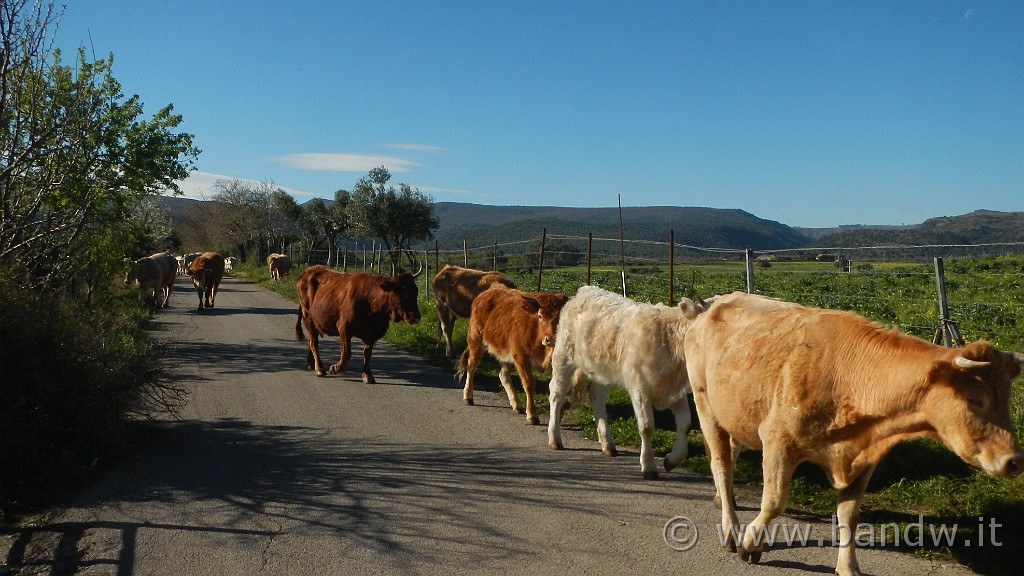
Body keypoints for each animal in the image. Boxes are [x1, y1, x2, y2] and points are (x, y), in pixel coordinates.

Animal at [456, 284, 569, 424]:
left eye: (560, 319)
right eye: (540, 316)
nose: (550, 339)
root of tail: (492, 288)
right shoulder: (521, 357)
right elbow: (529, 384)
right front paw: (532, 415)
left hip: (506, 354)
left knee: (503, 375)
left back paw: (517, 404)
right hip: (475, 340)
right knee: (471, 367)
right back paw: (468, 396)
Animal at [548, 284, 708, 477]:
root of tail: (585, 290)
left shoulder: (674, 391)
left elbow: (686, 424)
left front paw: (672, 460)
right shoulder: (640, 388)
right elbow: (646, 427)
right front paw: (648, 466)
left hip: (603, 370)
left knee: (596, 395)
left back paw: (607, 444)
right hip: (563, 357)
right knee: (556, 394)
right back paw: (555, 438)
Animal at [679, 291, 1024, 573]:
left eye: (1007, 397)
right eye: (975, 399)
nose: (1014, 461)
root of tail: (708, 307)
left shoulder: (864, 456)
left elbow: (849, 515)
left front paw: (848, 567)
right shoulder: (778, 441)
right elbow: (774, 501)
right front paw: (751, 543)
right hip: (704, 405)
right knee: (721, 465)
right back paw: (730, 528)